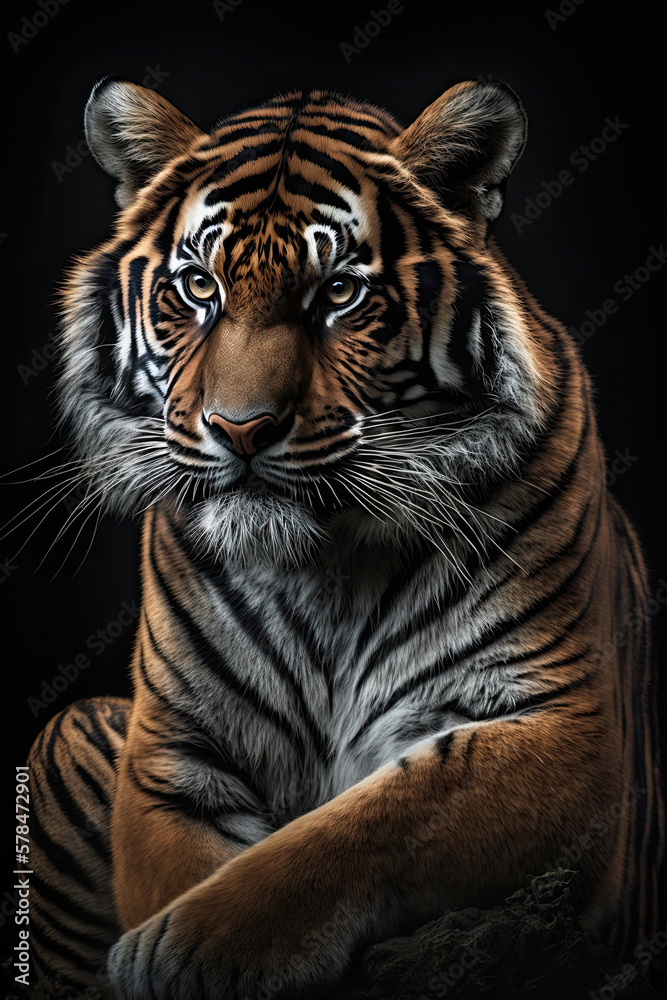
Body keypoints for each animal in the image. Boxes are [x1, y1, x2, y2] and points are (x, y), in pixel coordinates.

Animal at [25, 76, 663, 1000]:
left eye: (337, 294)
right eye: (198, 287)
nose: (240, 429)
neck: (321, 563)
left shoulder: (562, 725)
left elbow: (360, 829)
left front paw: (188, 950)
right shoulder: (170, 742)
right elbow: (190, 859)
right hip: (75, 728)